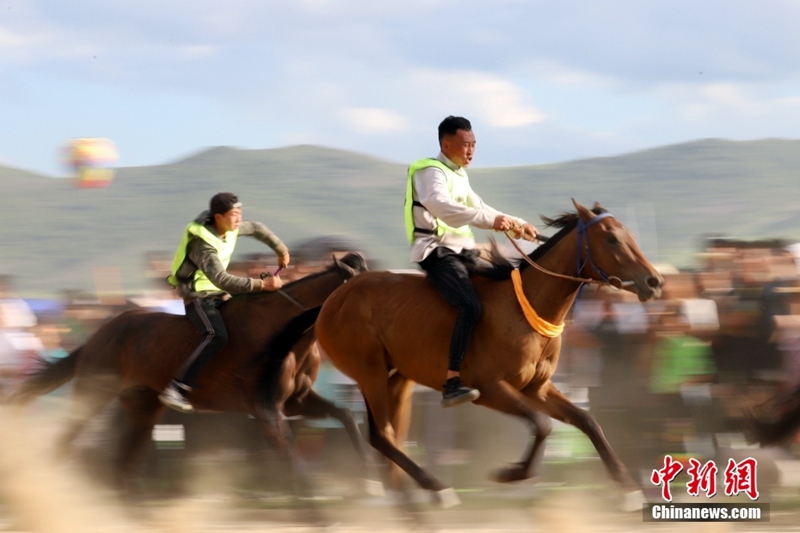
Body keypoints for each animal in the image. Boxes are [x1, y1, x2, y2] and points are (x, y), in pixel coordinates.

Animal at [9, 251, 372, 500]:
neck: (285, 334)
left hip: (142, 409)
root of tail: (101, 332)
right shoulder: (265, 408)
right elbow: (292, 459)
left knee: (122, 466)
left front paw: (368, 478)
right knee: (65, 442)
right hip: (92, 393)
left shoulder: (297, 400)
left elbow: (345, 415)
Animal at [312, 200, 664, 508]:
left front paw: (627, 488)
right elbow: (542, 425)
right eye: (611, 238)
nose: (654, 281)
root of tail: (337, 294)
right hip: (368, 371)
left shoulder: (537, 388)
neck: (525, 307)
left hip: (398, 378)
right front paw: (511, 473)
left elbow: (588, 422)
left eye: (629, 236)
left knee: (390, 436)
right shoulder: (490, 389)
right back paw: (435, 488)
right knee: (381, 437)